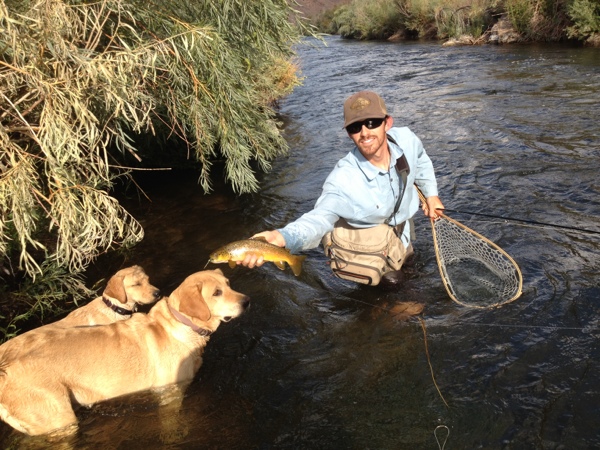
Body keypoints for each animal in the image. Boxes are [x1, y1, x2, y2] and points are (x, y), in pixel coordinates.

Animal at [0, 268, 250, 434]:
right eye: (216, 293)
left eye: (229, 284)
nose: (247, 301)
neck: (180, 325)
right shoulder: (169, 393)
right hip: (58, 419)